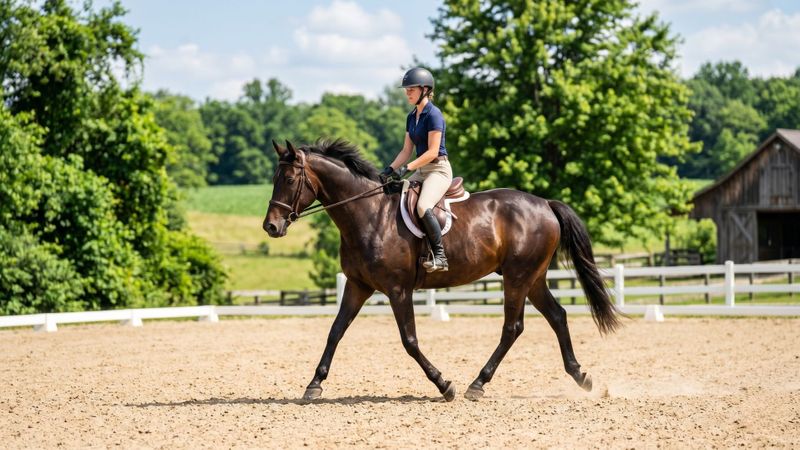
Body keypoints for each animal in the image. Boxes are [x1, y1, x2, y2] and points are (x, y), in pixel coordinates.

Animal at [263, 139, 621, 402]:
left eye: (290, 180)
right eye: (274, 180)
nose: (271, 226)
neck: (368, 214)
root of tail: (545, 203)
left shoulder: (398, 290)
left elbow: (409, 340)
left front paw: (443, 384)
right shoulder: (357, 285)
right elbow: (335, 331)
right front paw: (314, 384)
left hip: (518, 278)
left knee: (513, 327)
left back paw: (477, 384)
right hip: (532, 278)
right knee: (557, 316)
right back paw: (581, 376)